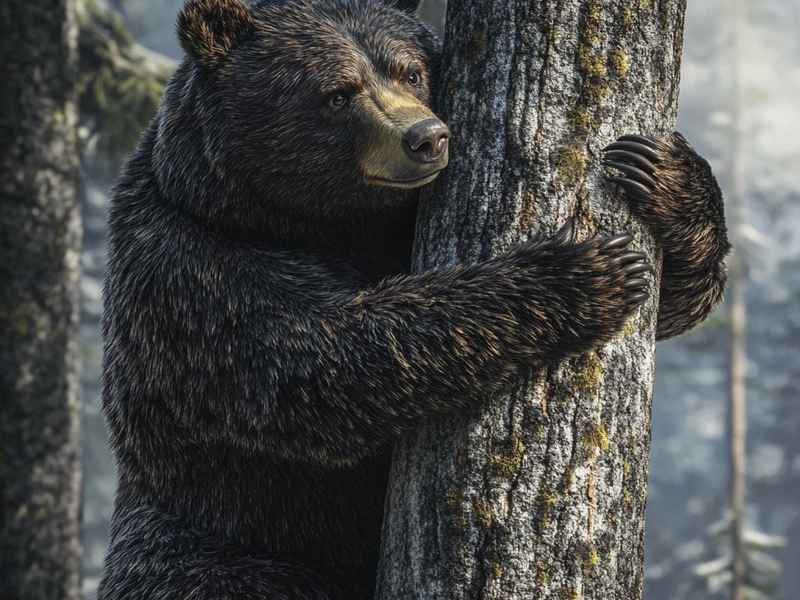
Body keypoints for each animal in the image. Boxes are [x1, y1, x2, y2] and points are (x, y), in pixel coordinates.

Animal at [98, 0, 729, 598]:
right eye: (337, 93)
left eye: (411, 71)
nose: (427, 137)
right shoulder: (190, 277)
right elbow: (330, 356)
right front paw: (581, 272)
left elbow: (675, 301)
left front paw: (660, 173)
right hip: (215, 549)